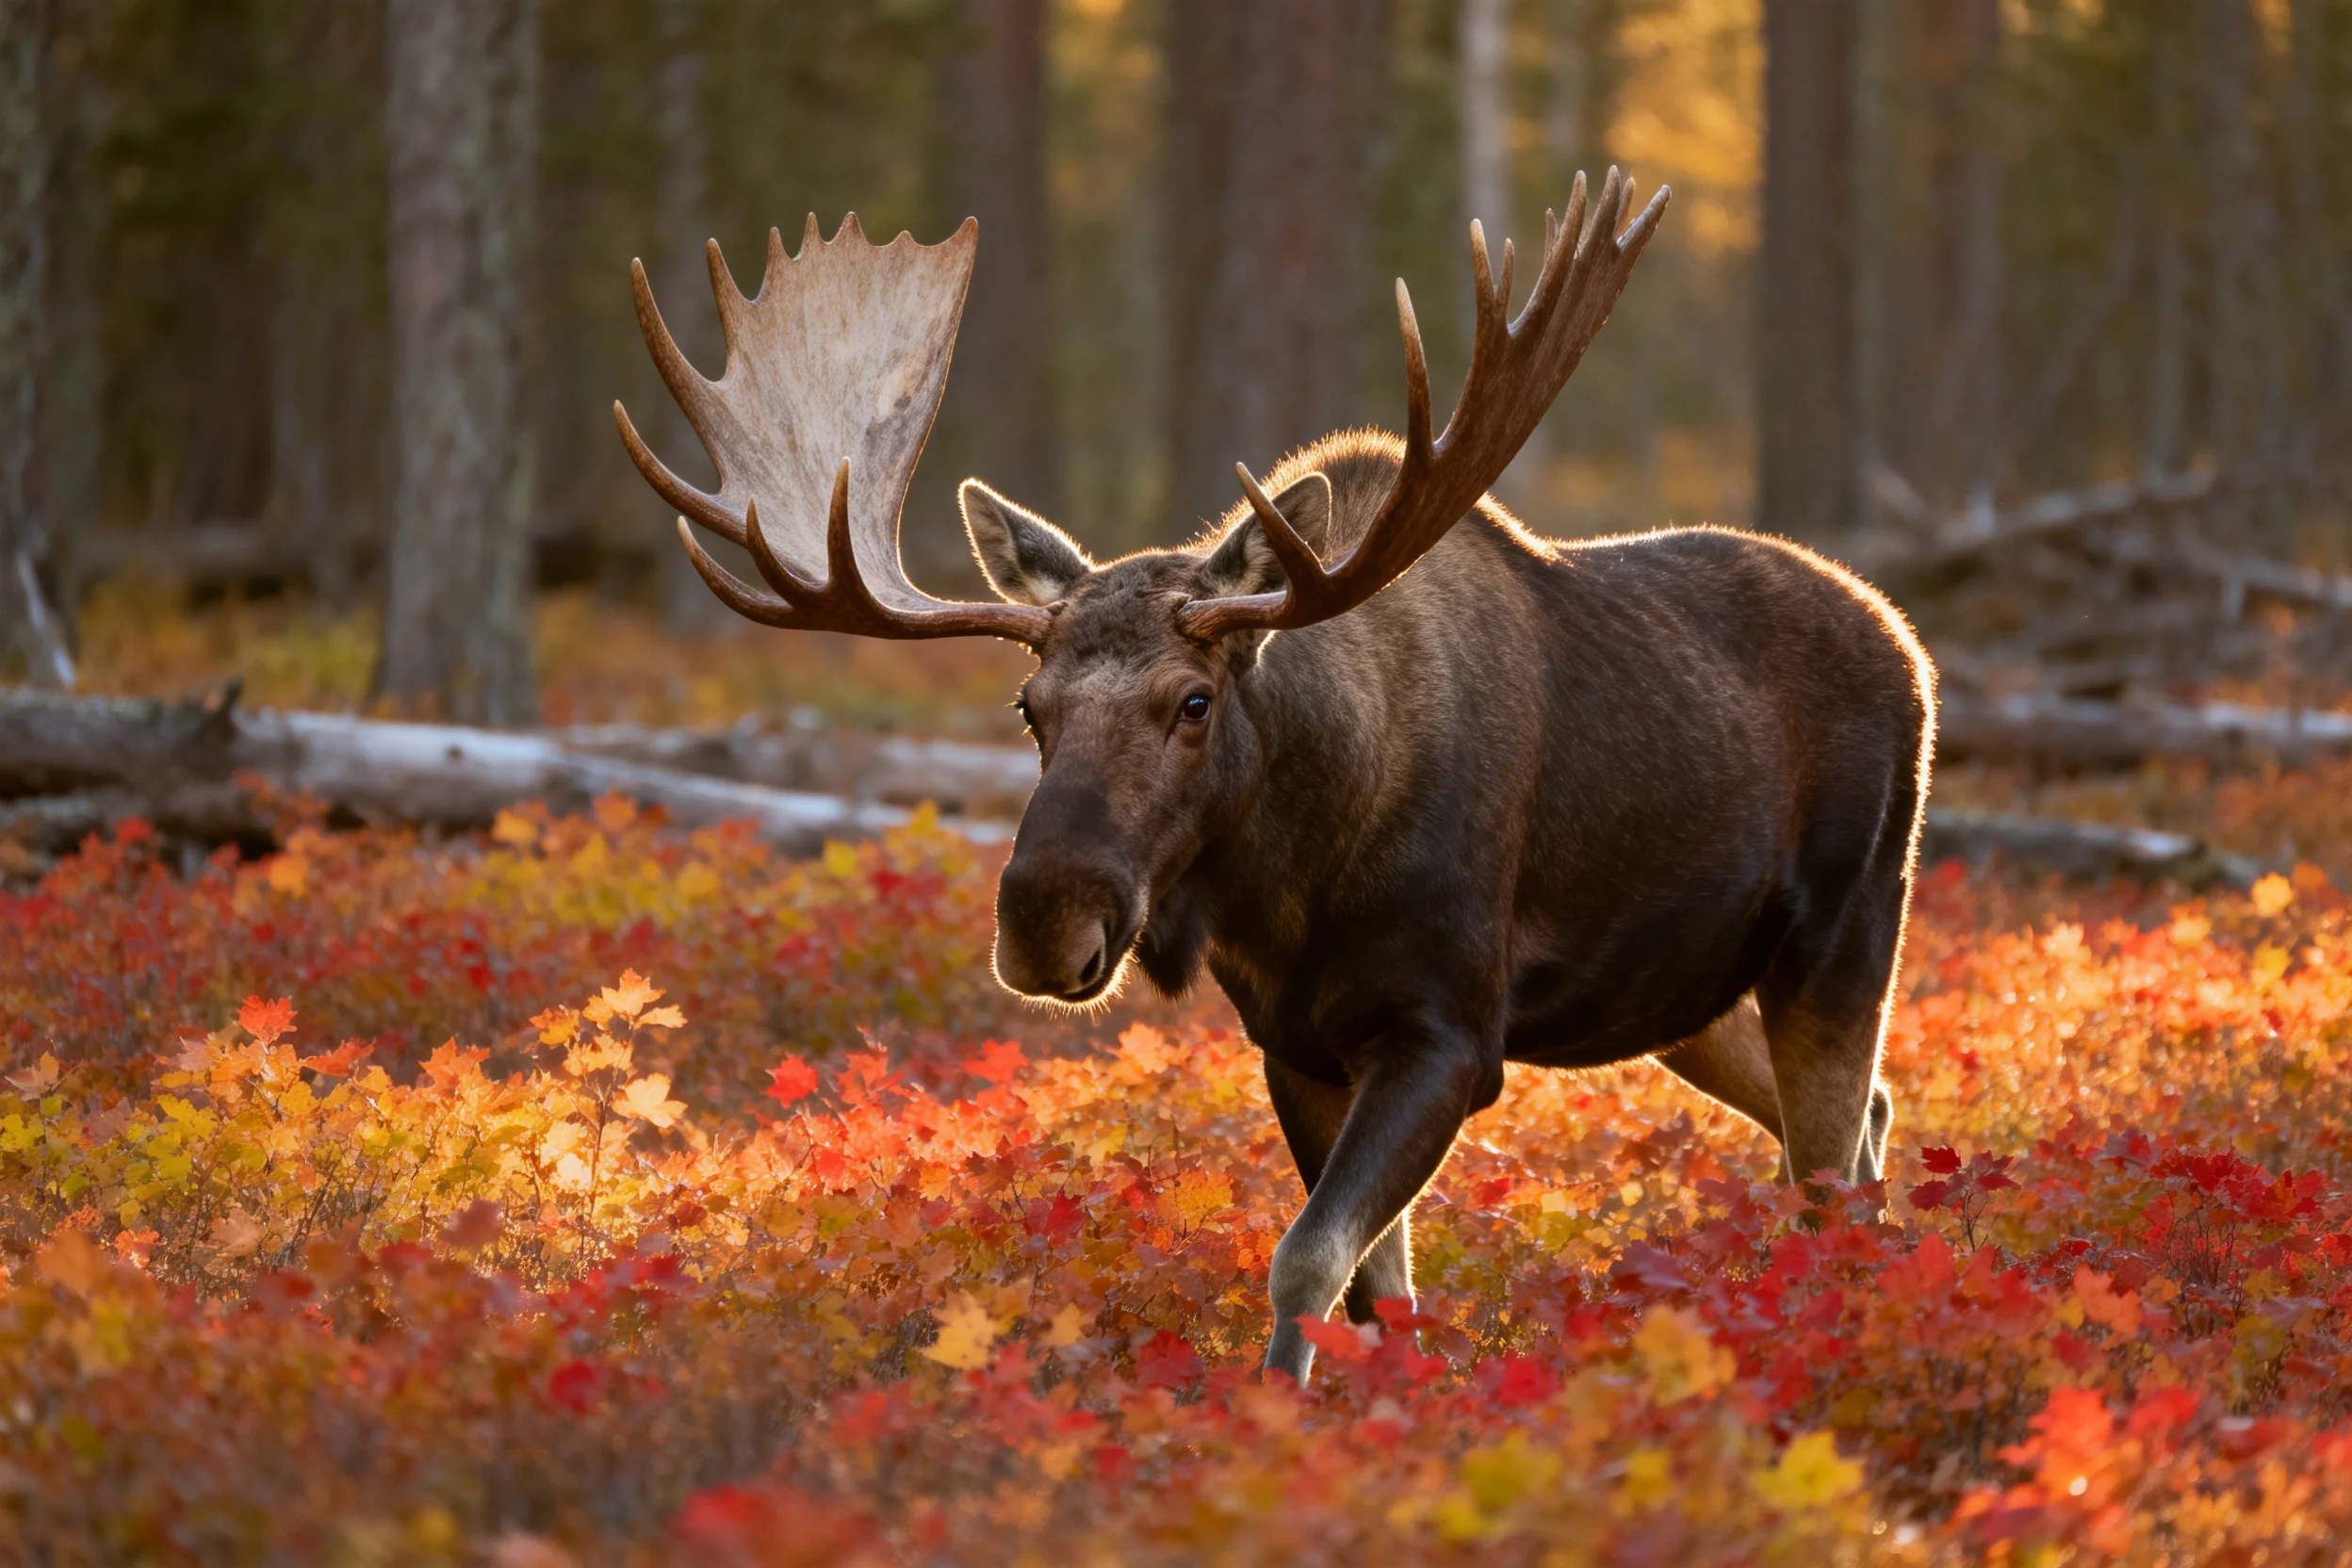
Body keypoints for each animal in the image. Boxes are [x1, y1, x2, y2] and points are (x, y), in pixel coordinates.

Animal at [614, 169, 1935, 1384]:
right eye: (1030, 708)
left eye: (1193, 701)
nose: (1044, 920)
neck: (1297, 881)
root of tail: (1908, 640)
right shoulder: (1293, 1044)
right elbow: (1371, 1289)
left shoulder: (1449, 1032)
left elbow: (1307, 1258)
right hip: (1682, 991)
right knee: (1855, 1120)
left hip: (1846, 926)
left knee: (1833, 1158)